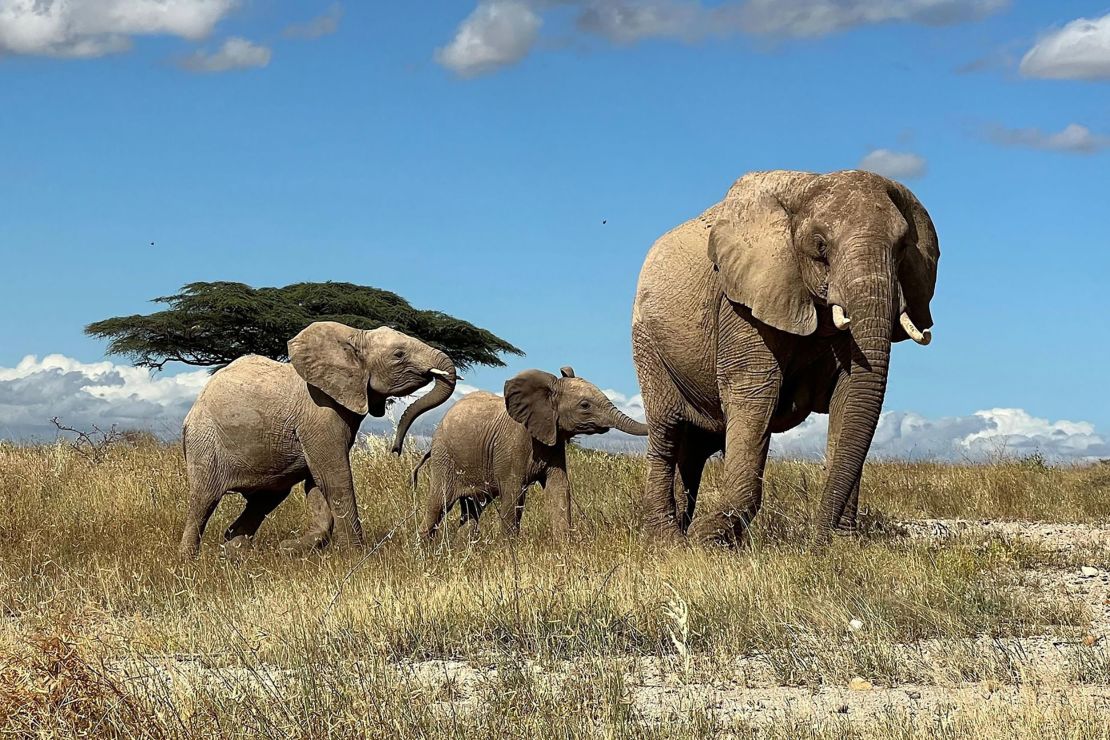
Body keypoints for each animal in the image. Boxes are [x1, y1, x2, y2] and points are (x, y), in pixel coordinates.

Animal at [179, 321, 457, 559]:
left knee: (264, 500)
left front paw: (290, 549)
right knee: (203, 500)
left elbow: (316, 483)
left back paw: (234, 555)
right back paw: (190, 562)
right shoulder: (319, 412)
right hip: (205, 441)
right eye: (399, 354)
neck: (354, 336)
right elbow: (334, 476)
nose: (395, 450)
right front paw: (356, 554)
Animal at [412, 368, 648, 541]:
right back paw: (425, 552)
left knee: (472, 509)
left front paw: (564, 547)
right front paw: (509, 551)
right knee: (438, 503)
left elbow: (559, 488)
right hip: (444, 458)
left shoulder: (553, 441)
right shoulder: (513, 444)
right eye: (585, 405)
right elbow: (514, 493)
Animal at [634, 170, 936, 548]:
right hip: (648, 342)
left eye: (902, 249)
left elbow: (850, 399)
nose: (817, 542)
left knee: (694, 447)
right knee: (667, 429)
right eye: (820, 247)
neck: (808, 186)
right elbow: (753, 393)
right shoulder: (741, 302)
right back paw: (668, 540)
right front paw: (710, 540)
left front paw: (844, 544)